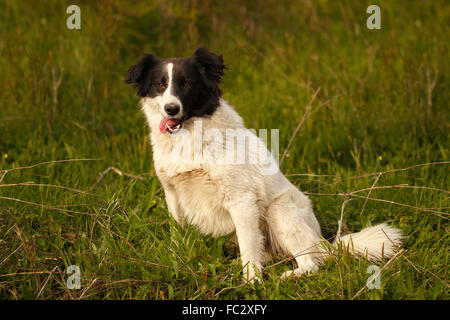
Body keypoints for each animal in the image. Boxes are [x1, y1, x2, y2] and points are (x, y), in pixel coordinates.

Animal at [125, 46, 404, 282]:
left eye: (187, 84)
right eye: (160, 85)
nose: (171, 109)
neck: (189, 136)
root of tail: (324, 242)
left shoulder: (242, 200)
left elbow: (249, 247)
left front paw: (252, 283)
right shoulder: (172, 192)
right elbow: (177, 233)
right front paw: (177, 261)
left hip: (280, 212)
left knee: (312, 262)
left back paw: (290, 275)